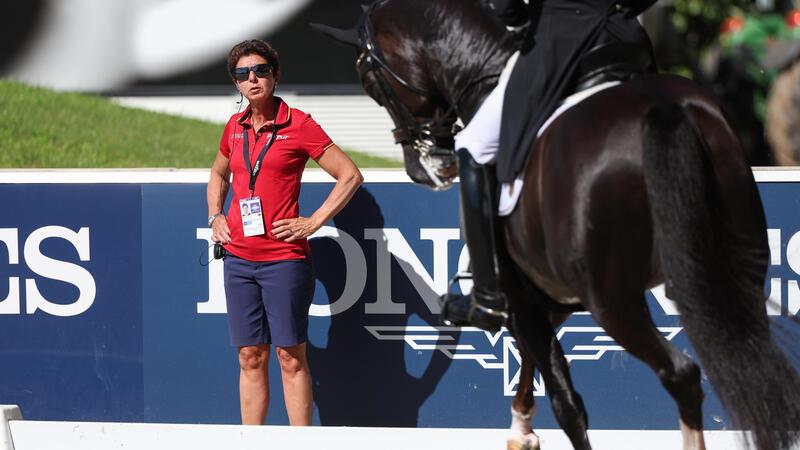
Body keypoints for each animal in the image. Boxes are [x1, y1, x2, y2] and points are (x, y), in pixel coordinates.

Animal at [310, 0, 800, 450]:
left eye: (371, 82)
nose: (423, 169)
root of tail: (664, 111)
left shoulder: (522, 296)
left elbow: (566, 402)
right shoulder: (549, 294)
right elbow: (531, 361)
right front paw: (521, 429)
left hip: (614, 301)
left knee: (681, 374)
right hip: (736, 276)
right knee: (759, 375)